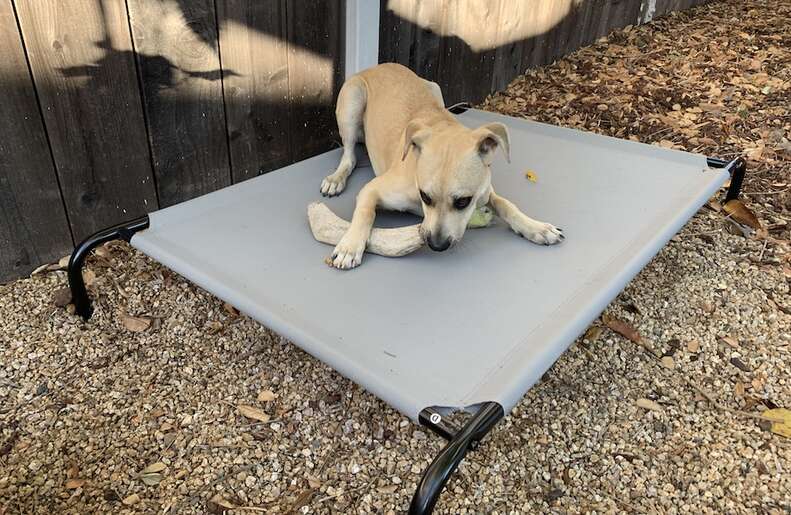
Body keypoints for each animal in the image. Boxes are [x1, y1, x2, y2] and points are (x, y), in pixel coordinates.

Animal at [322, 63, 564, 270]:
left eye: (463, 202)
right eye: (425, 196)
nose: (436, 245)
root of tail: (378, 66)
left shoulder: (486, 191)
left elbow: (507, 204)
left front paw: (536, 227)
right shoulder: (371, 189)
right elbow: (365, 213)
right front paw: (350, 246)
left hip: (434, 86)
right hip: (352, 102)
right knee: (349, 155)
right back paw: (336, 179)